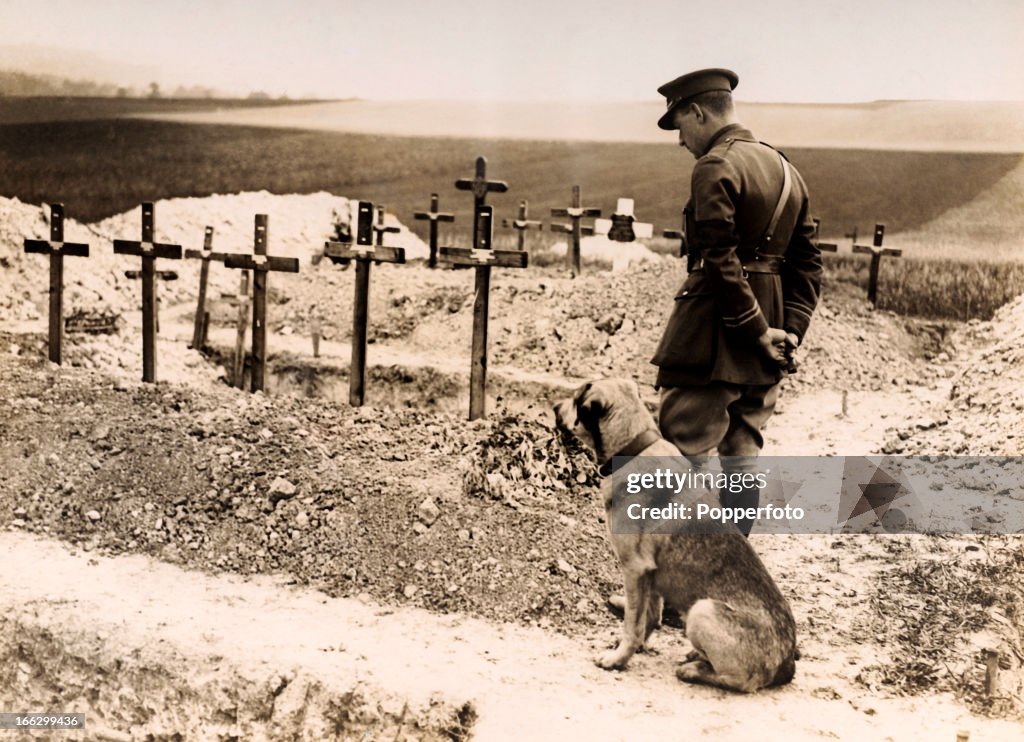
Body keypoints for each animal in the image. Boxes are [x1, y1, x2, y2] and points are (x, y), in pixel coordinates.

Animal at [557, 378, 794, 691]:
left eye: (575, 399)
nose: (554, 407)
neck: (634, 448)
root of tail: (787, 661)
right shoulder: (650, 575)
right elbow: (647, 619)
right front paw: (634, 648)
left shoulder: (634, 569)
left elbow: (633, 624)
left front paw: (618, 659)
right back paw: (696, 655)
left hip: (703, 611)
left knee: (738, 681)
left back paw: (692, 670)